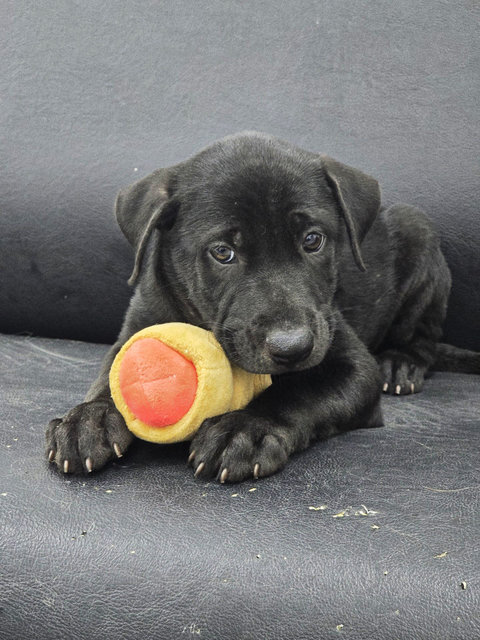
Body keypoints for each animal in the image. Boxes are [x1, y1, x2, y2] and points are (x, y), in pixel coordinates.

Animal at [44, 131, 476, 480]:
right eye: (223, 252)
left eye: (313, 240)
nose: (293, 347)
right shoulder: (137, 328)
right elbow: (109, 377)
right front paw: (87, 420)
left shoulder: (353, 365)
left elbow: (302, 391)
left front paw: (246, 430)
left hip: (420, 238)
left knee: (423, 336)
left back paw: (400, 363)